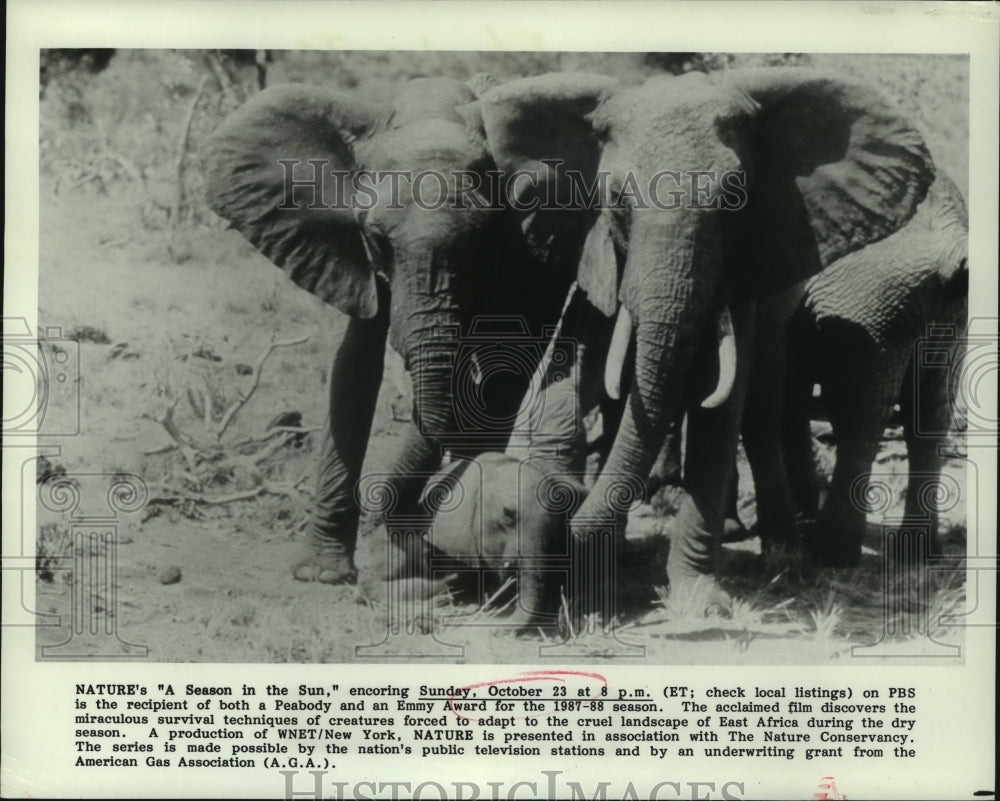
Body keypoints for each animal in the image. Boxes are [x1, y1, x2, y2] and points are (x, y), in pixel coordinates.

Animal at [476, 69, 936, 608]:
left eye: (734, 198)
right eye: (616, 201)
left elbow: (718, 406)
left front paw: (698, 599)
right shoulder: (594, 248)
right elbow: (577, 373)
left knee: (760, 411)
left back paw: (782, 555)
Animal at [744, 172, 968, 564]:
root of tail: (950, 242)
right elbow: (789, 399)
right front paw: (800, 513)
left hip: (870, 304)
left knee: (856, 416)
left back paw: (829, 552)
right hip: (939, 319)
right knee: (930, 417)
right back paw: (917, 554)